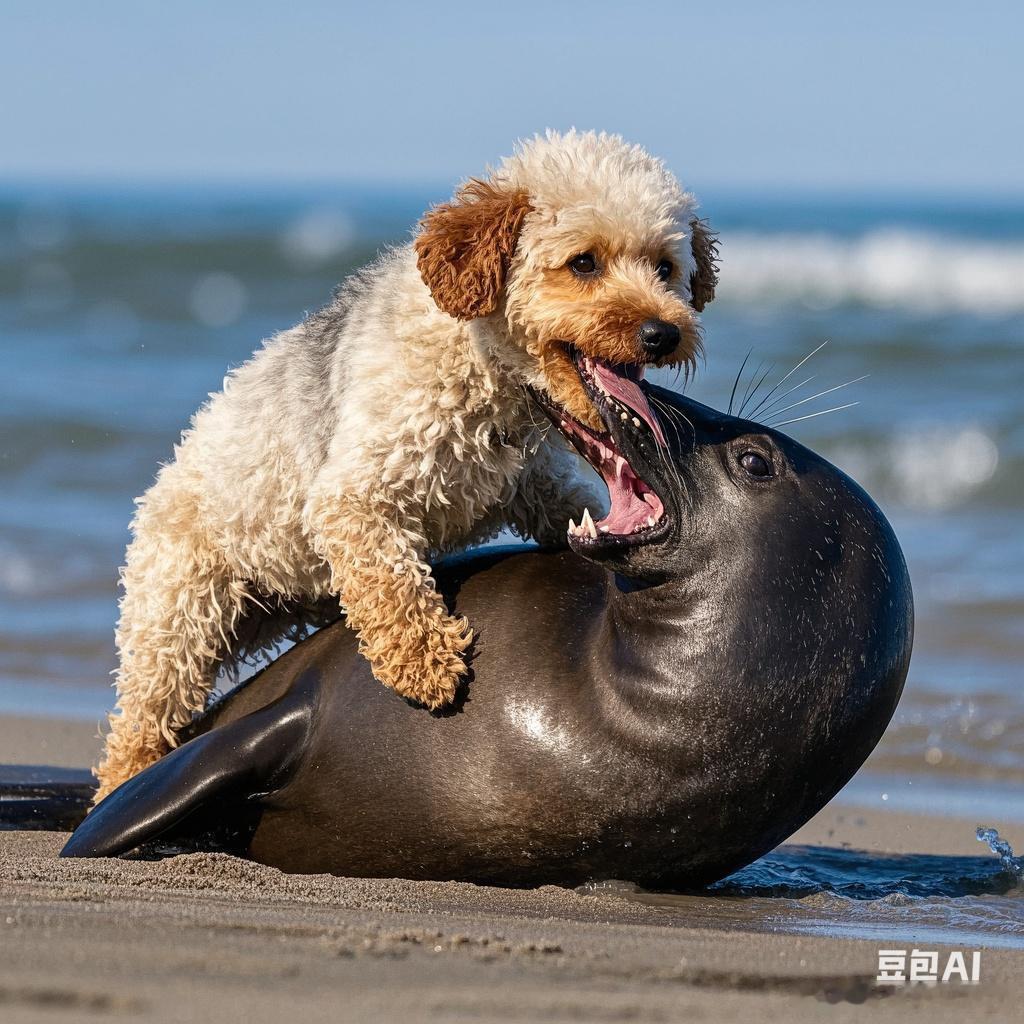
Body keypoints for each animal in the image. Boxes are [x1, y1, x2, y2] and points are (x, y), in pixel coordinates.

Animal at [96, 130, 720, 798]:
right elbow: (390, 578)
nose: (663, 333)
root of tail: (158, 486)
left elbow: (575, 509)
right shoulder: (355, 495)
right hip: (178, 618)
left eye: (666, 268)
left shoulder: (535, 481)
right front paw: (426, 659)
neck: (481, 366)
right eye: (584, 263)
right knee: (139, 725)